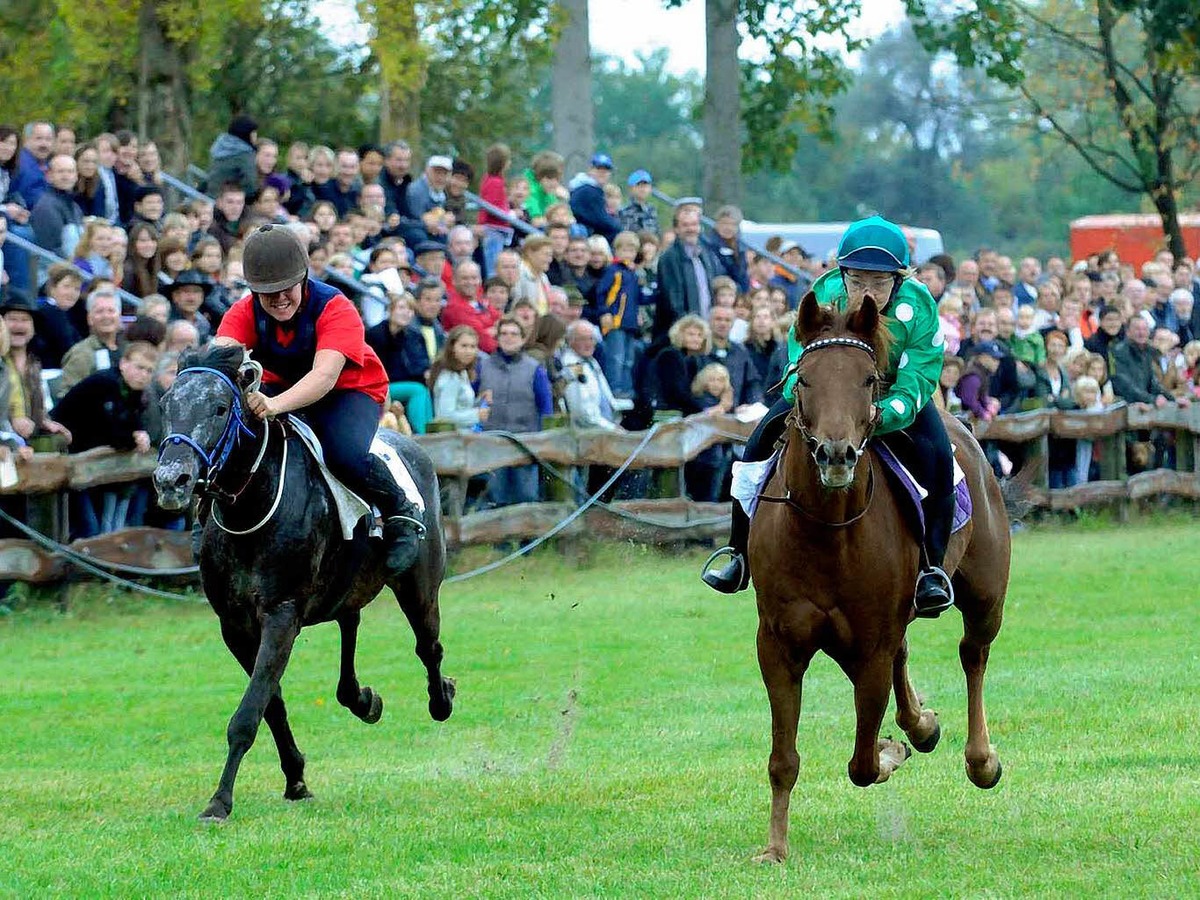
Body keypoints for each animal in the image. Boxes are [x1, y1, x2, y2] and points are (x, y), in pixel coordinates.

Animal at [753, 292, 1008, 864]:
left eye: (868, 379)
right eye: (804, 378)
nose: (836, 454)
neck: (825, 532)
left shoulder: (869, 645)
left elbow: (864, 763)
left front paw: (892, 749)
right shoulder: (778, 645)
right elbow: (783, 758)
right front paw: (775, 847)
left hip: (986, 596)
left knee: (973, 655)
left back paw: (979, 759)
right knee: (907, 655)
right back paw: (922, 726)